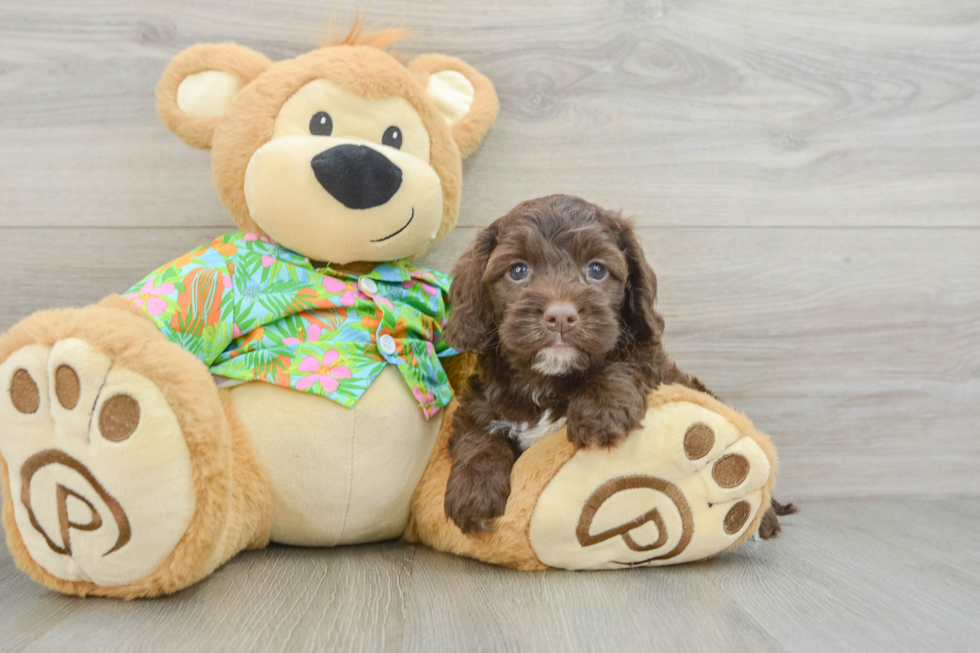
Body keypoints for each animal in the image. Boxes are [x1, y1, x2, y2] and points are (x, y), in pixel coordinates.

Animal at [440, 196, 708, 532]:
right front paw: (473, 492)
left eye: (596, 269)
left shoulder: (654, 363)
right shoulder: (479, 400)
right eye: (518, 270)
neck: (547, 379)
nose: (560, 316)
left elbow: (628, 361)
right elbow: (476, 434)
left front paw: (600, 409)